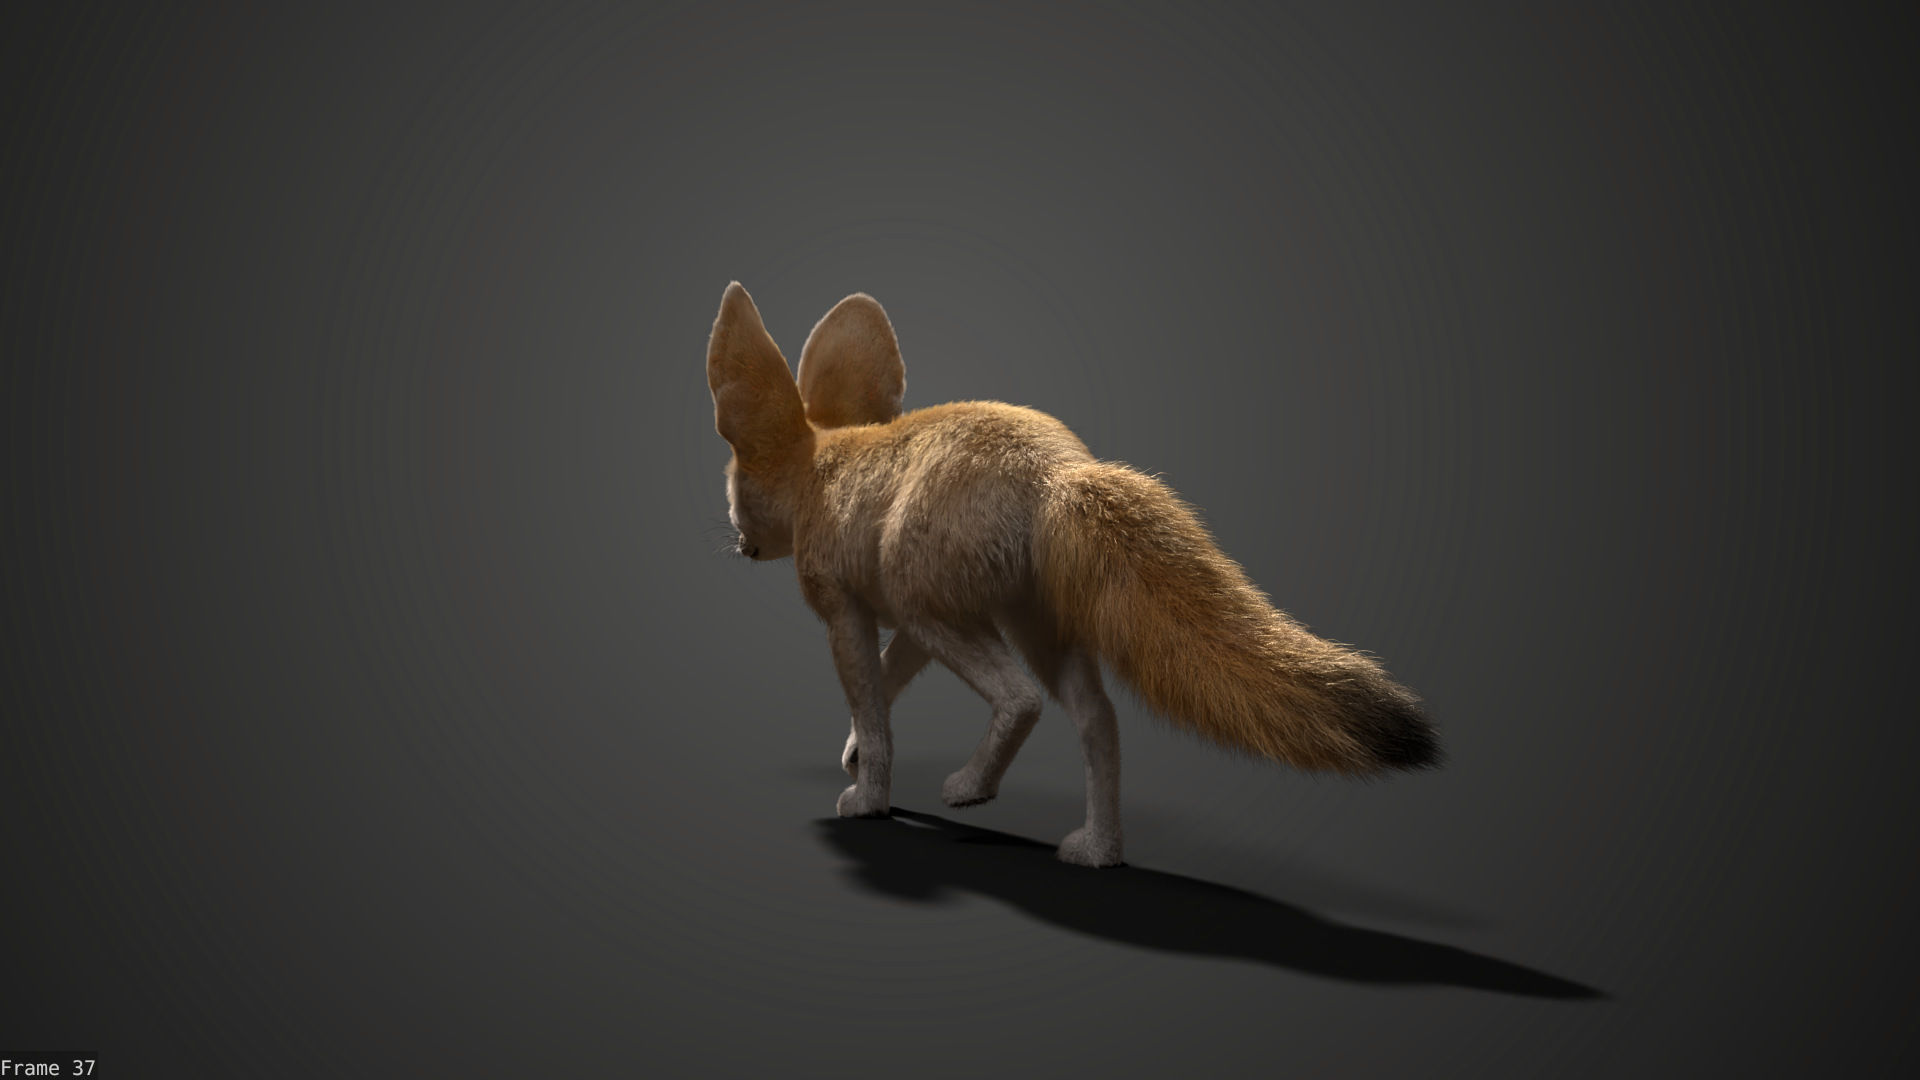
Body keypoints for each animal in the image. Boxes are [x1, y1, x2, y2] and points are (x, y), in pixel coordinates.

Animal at [707, 281, 1439, 867]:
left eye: (732, 485)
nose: (737, 541)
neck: (820, 473)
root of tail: (1058, 472)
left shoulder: (850, 614)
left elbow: (875, 706)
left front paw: (867, 796)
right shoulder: (905, 629)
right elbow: (884, 692)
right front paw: (855, 751)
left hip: (941, 610)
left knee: (1021, 699)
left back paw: (971, 790)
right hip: (1030, 629)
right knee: (1099, 722)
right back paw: (1098, 852)